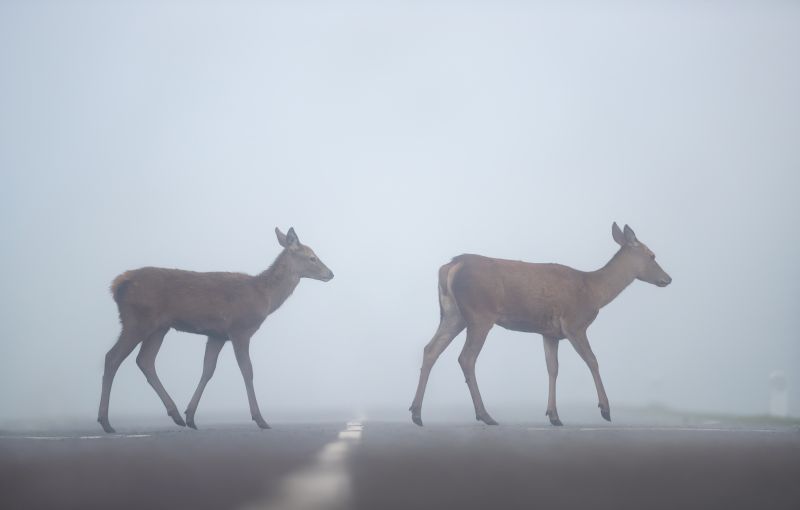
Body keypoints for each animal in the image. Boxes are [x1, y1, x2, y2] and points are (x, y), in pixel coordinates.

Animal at [97, 227, 333, 433]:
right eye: (312, 257)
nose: (330, 273)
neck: (265, 297)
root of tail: (117, 285)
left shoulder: (217, 335)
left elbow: (208, 370)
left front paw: (191, 415)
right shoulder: (240, 329)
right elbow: (247, 371)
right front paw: (260, 419)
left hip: (159, 327)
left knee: (145, 360)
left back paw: (176, 414)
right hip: (137, 320)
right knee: (113, 357)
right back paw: (106, 422)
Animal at [410, 222, 671, 427]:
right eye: (652, 255)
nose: (667, 279)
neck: (594, 292)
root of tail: (451, 266)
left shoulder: (550, 333)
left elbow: (552, 368)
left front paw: (554, 415)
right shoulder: (574, 323)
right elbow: (593, 360)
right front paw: (605, 409)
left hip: (453, 315)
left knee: (431, 349)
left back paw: (417, 413)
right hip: (479, 314)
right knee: (466, 358)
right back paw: (484, 415)